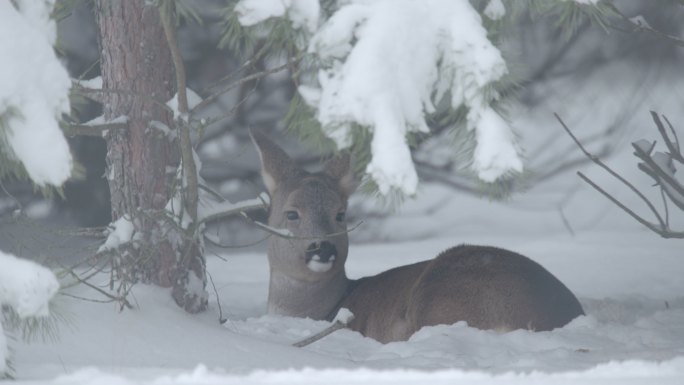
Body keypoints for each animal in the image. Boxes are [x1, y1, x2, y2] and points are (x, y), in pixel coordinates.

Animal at [251, 130, 584, 342]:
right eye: (291, 213)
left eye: (340, 214)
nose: (322, 247)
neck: (326, 309)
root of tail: (560, 315)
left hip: (440, 297)